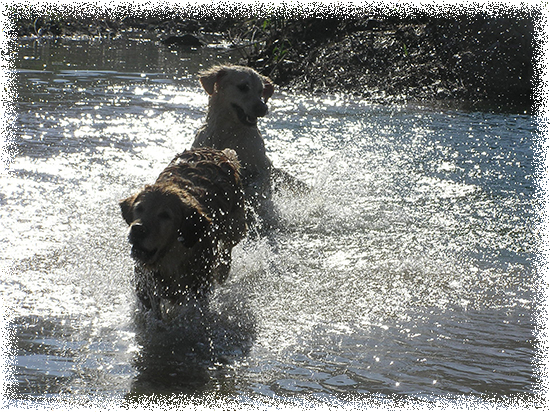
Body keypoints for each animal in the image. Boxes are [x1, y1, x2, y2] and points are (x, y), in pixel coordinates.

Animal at [122, 146, 248, 314]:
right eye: (139, 208)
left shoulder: (199, 285)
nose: (137, 229)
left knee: (228, 247)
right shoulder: (146, 285)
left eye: (165, 215)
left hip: (236, 226)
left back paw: (223, 270)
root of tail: (217, 151)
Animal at [192, 65, 308, 212]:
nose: (263, 108)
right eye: (243, 87)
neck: (229, 133)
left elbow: (256, 185)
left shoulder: (264, 167)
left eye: (261, 90)